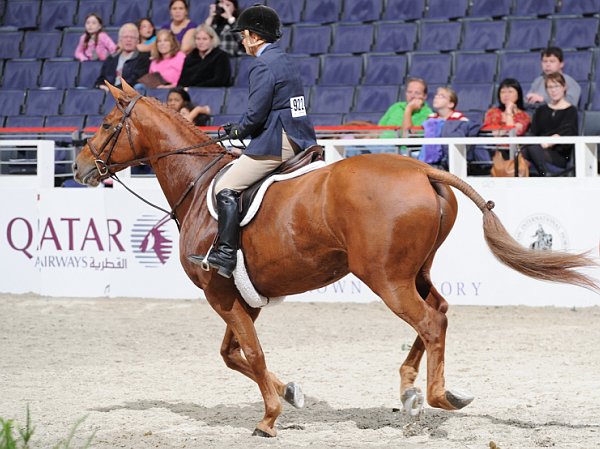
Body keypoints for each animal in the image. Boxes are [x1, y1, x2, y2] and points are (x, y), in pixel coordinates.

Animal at [74, 79, 596, 434]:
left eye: (107, 125)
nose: (79, 168)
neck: (199, 182)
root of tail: (421, 169)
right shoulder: (239, 294)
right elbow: (233, 353)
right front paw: (289, 392)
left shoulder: (218, 292)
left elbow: (250, 353)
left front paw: (269, 417)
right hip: (414, 271)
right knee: (441, 311)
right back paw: (411, 389)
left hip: (386, 278)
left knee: (430, 321)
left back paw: (435, 396)